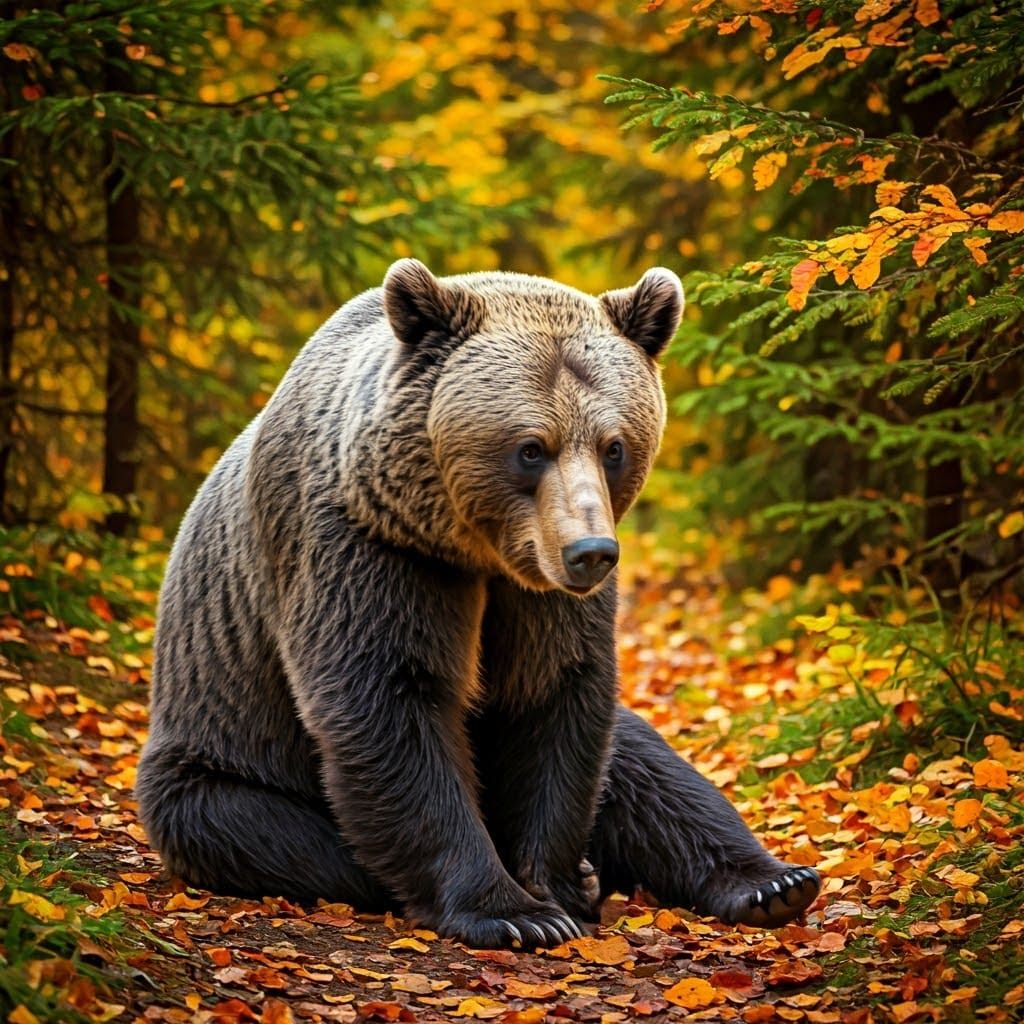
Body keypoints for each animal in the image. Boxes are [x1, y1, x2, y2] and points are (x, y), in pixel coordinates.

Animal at [136, 259, 821, 949]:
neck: (475, 550)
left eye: (614, 446)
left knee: (646, 768)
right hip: (217, 759)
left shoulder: (539, 597)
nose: (591, 552)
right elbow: (389, 702)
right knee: (263, 831)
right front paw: (516, 912)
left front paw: (556, 885)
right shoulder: (366, 549)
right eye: (531, 447)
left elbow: (554, 697)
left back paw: (771, 883)